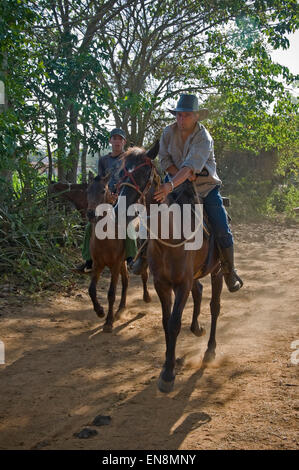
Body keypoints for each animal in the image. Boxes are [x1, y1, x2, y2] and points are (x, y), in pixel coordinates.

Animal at [86, 174, 152, 332]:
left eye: (103, 190)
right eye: (87, 190)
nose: (90, 214)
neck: (105, 238)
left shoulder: (114, 265)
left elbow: (111, 293)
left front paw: (108, 322)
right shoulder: (98, 265)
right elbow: (91, 290)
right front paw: (100, 311)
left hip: (137, 258)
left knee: (143, 275)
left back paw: (146, 297)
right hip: (122, 262)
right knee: (126, 281)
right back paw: (121, 308)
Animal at [116, 146, 224, 392]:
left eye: (144, 174)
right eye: (120, 173)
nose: (118, 210)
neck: (170, 233)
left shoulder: (182, 284)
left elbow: (175, 323)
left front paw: (167, 374)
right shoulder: (162, 284)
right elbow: (167, 323)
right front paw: (169, 363)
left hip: (218, 271)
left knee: (214, 306)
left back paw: (210, 351)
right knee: (199, 290)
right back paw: (196, 328)